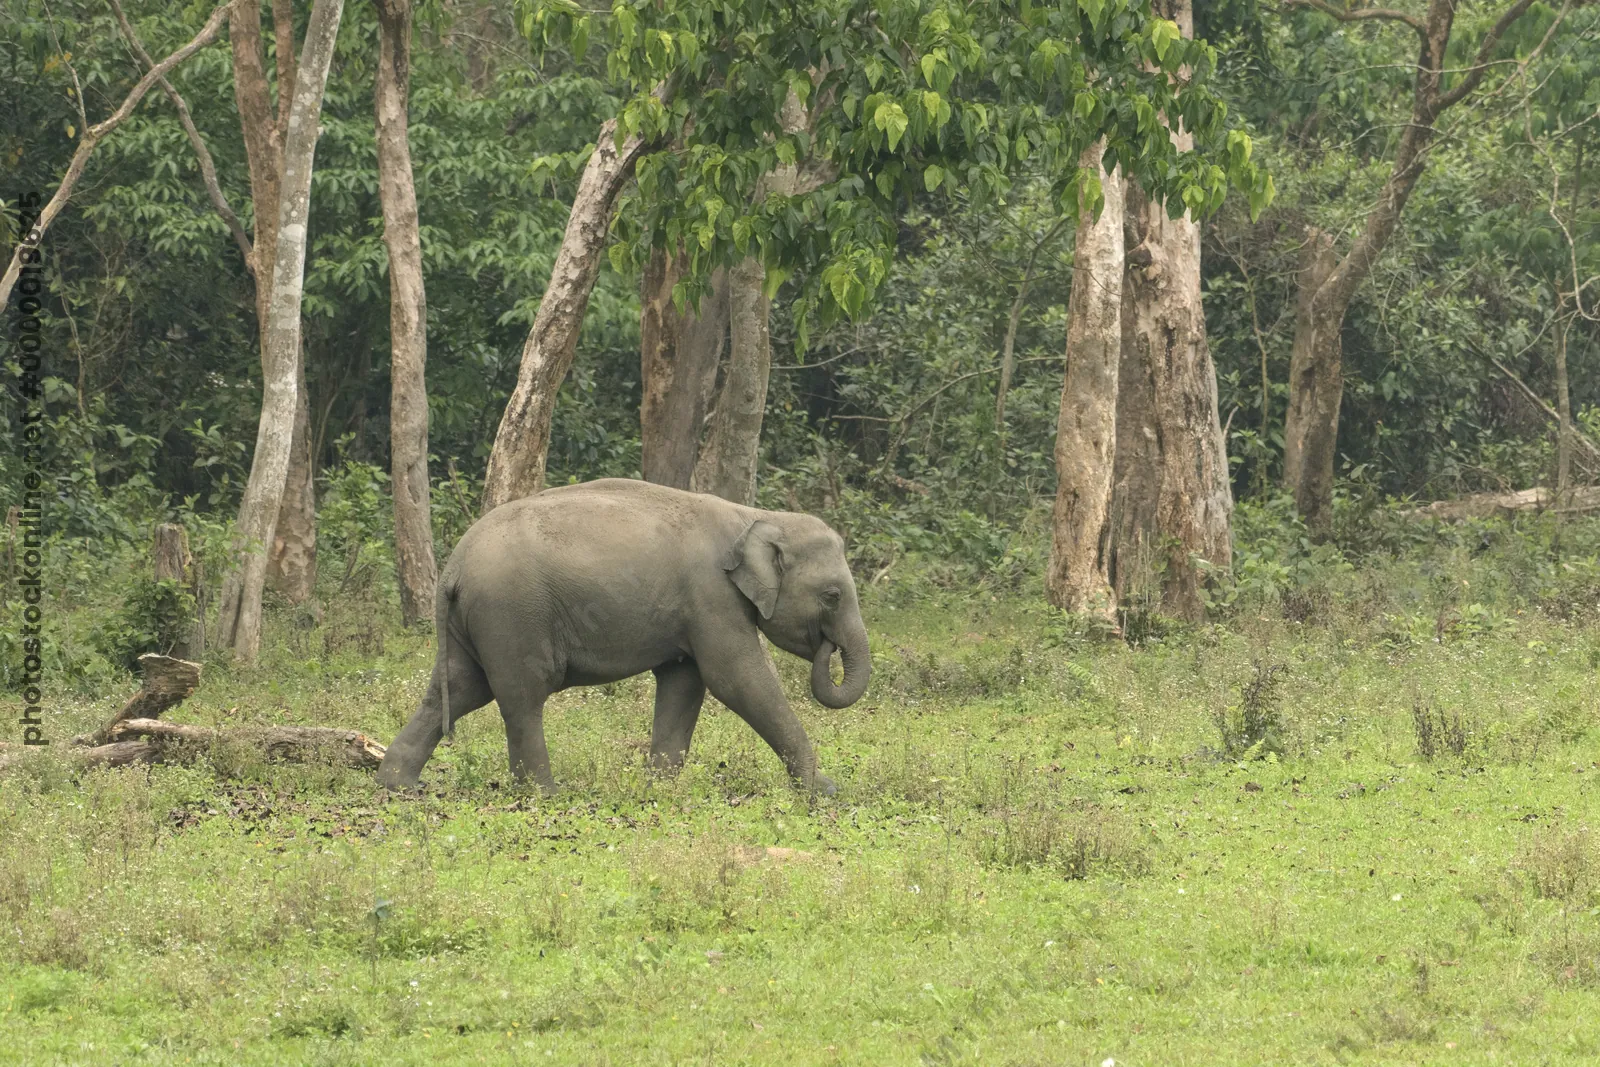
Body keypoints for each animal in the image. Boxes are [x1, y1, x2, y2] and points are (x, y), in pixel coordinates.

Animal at [376, 478, 870, 795]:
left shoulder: (693, 609)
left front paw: (659, 789)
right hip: (510, 614)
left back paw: (399, 784)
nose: (828, 647)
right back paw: (546, 794)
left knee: (458, 689)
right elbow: (737, 679)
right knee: (521, 697)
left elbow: (685, 683)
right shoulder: (712, 596)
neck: (753, 516)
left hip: (474, 623)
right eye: (832, 596)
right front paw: (824, 790)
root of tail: (453, 568)